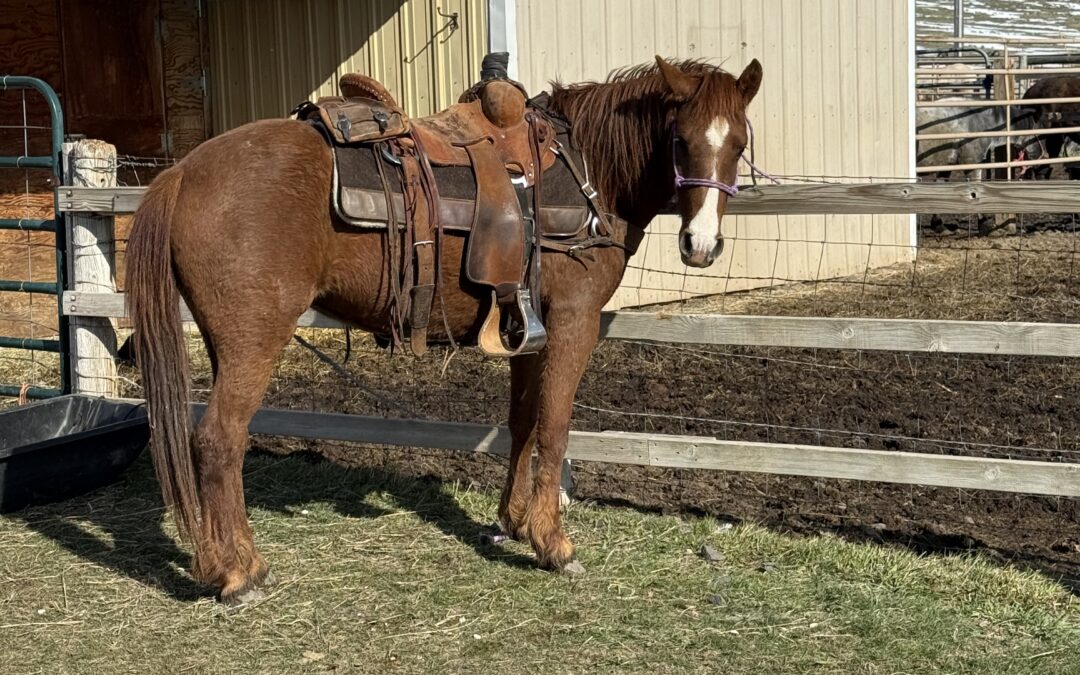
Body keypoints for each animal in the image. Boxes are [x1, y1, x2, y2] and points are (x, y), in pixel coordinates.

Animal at [126, 56, 763, 605]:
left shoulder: (525, 327)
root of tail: (183, 172)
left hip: (224, 343)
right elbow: (555, 427)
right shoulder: (571, 321)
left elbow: (522, 423)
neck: (589, 173)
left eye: (738, 143)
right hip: (253, 343)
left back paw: (221, 563)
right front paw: (553, 543)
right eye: (680, 141)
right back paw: (239, 573)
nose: (701, 245)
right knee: (218, 442)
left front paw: (513, 521)